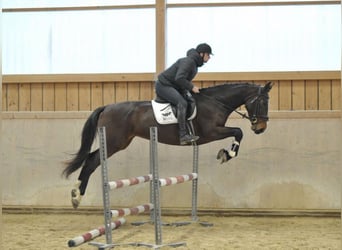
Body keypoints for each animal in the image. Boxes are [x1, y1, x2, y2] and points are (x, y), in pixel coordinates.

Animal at [63, 81, 272, 208]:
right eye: (263, 102)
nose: (261, 128)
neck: (216, 102)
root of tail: (106, 107)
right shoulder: (211, 132)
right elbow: (239, 131)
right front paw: (227, 154)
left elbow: (238, 132)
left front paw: (226, 153)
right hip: (114, 142)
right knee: (92, 161)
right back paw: (76, 195)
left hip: (120, 142)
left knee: (91, 159)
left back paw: (76, 195)